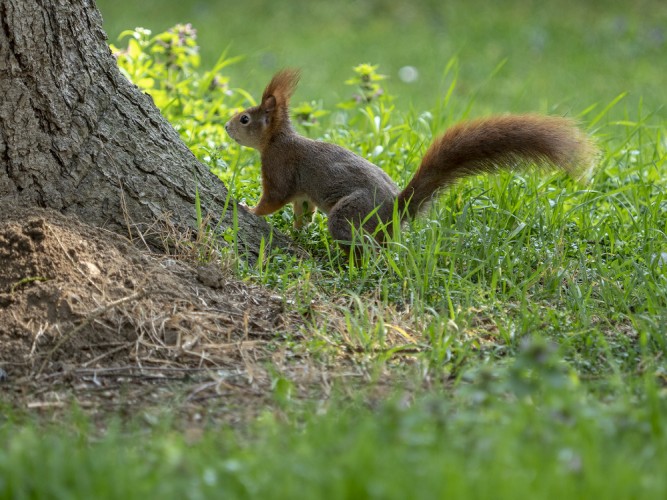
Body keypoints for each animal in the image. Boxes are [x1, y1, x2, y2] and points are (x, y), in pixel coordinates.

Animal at [227, 68, 596, 252]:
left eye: (245, 119)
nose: (227, 127)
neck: (277, 140)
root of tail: (396, 209)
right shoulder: (301, 192)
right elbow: (302, 211)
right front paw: (297, 232)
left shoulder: (278, 167)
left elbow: (272, 199)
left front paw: (247, 208)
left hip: (351, 214)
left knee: (365, 245)